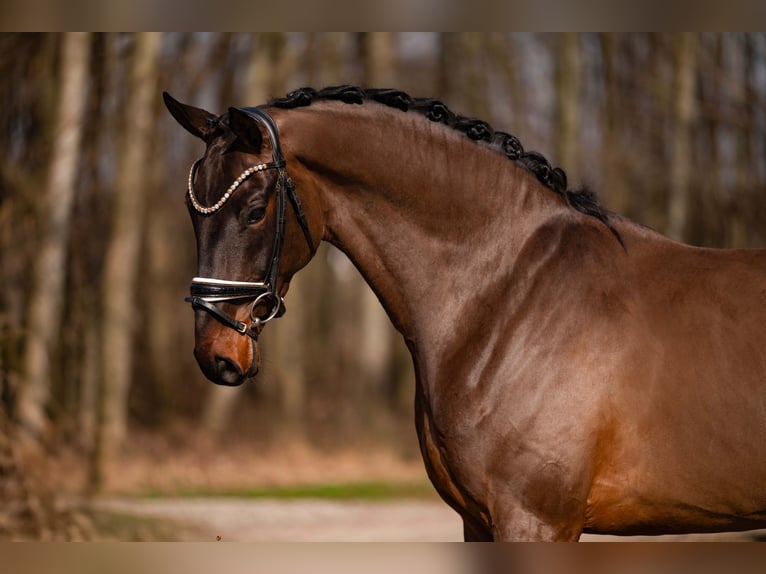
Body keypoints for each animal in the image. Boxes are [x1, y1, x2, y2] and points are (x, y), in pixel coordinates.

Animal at [163, 85, 766, 541]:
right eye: (192, 215)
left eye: (254, 210)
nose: (215, 353)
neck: (507, 294)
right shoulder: (478, 522)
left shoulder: (535, 521)